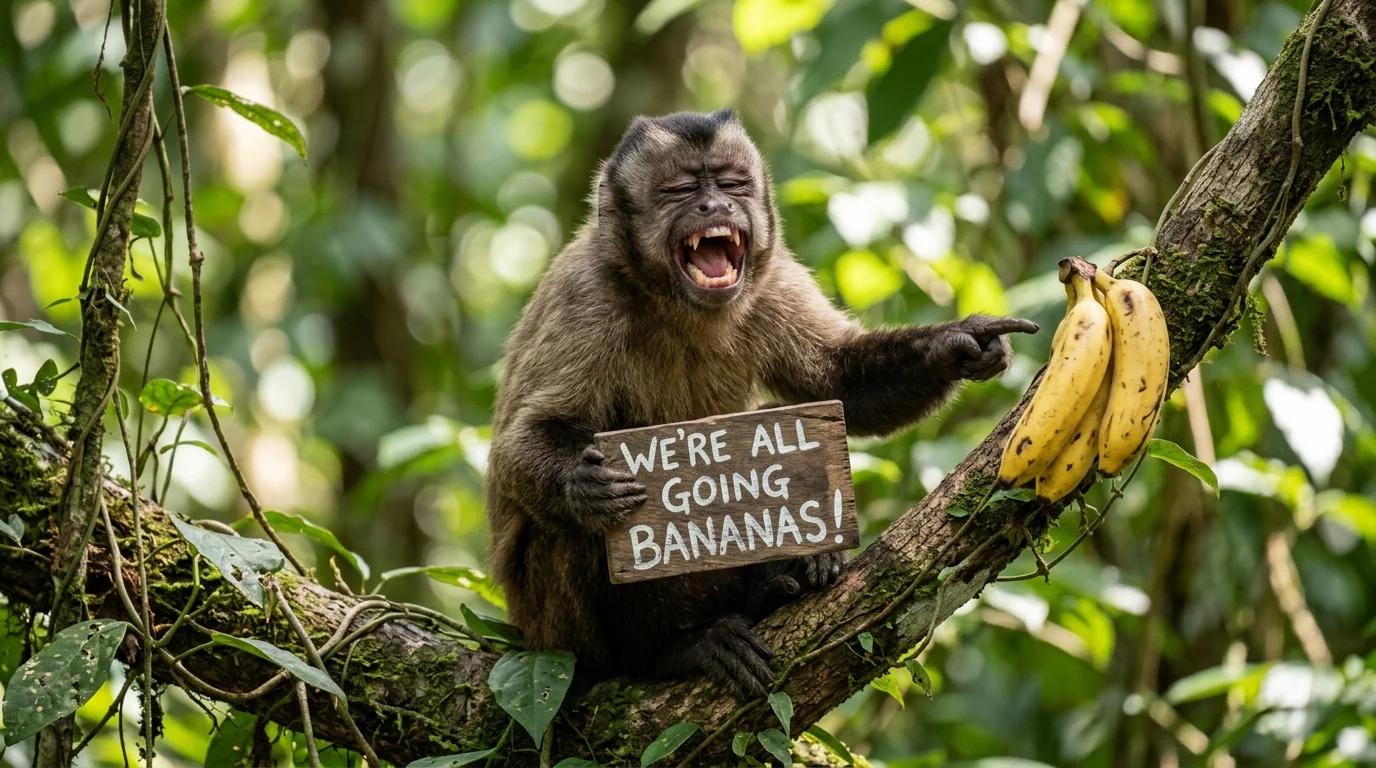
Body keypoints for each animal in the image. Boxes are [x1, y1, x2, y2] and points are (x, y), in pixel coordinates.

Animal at [486, 109, 1038, 700]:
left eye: (732, 184)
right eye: (681, 190)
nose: (714, 207)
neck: (676, 305)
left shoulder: (773, 278)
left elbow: (837, 378)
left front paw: (960, 343)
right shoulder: (584, 295)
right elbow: (520, 445)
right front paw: (583, 484)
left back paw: (783, 579)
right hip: (561, 640)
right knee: (575, 532)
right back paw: (670, 649)